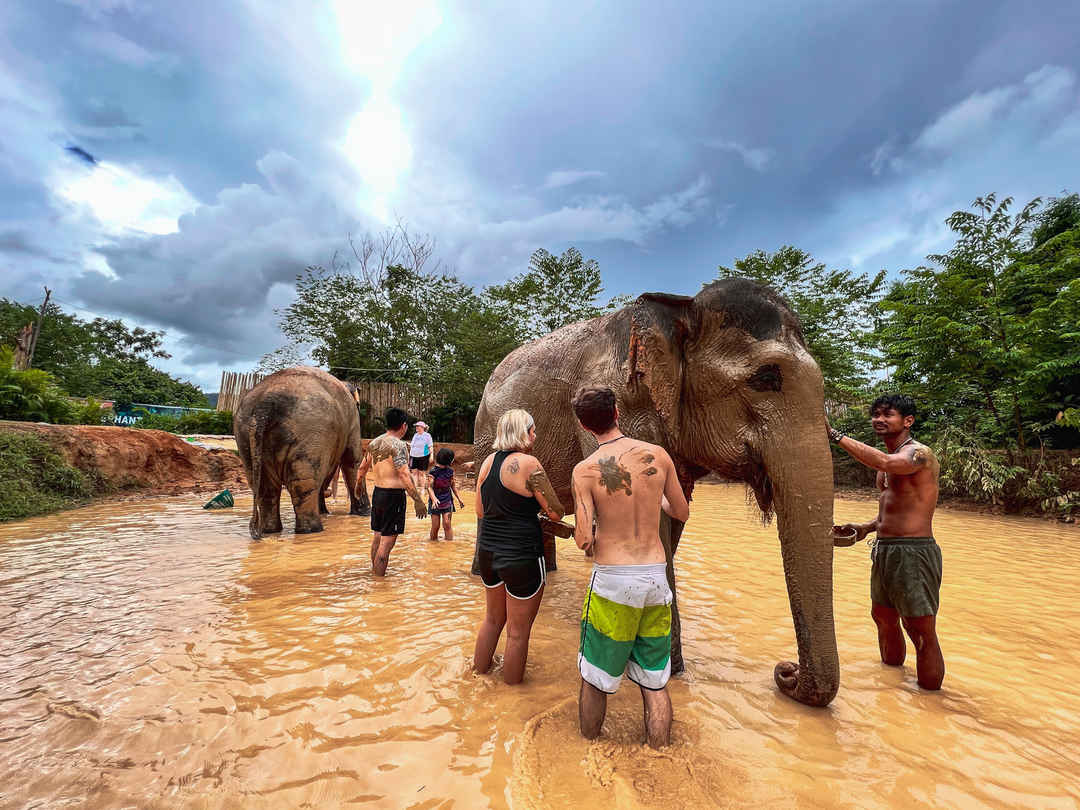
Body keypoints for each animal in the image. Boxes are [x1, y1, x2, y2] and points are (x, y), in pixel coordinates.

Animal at [234, 366, 371, 539]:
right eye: (358, 404)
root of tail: (265, 403)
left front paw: (325, 512)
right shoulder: (352, 422)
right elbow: (352, 461)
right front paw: (365, 514)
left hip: (244, 436)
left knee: (265, 488)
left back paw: (270, 531)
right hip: (310, 432)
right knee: (304, 483)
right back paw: (312, 531)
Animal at [472, 278, 838, 707]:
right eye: (766, 378)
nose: (786, 672)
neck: (680, 308)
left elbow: (672, 516)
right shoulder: (618, 402)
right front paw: (665, 669)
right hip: (484, 435)